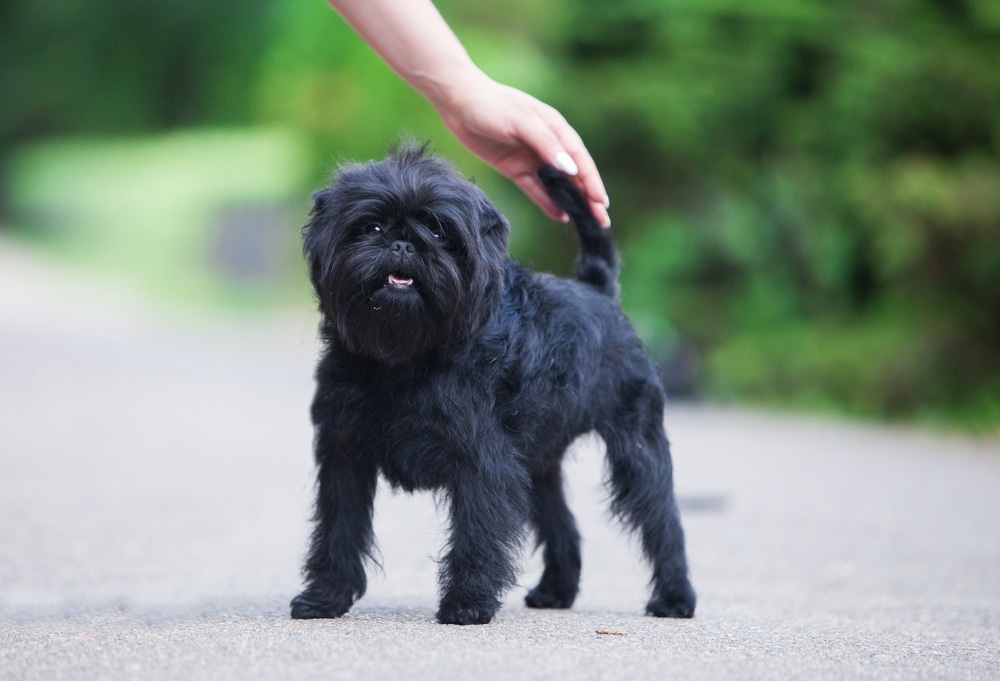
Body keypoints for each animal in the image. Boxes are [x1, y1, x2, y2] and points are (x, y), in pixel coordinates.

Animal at [290, 146, 696, 624]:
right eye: (370, 227)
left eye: (438, 230)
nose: (404, 243)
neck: (403, 357)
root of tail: (598, 292)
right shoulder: (344, 453)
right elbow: (339, 528)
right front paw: (325, 597)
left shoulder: (483, 461)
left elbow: (477, 533)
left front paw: (467, 603)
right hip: (539, 464)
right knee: (563, 525)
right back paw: (556, 591)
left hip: (636, 446)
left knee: (661, 519)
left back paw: (675, 597)